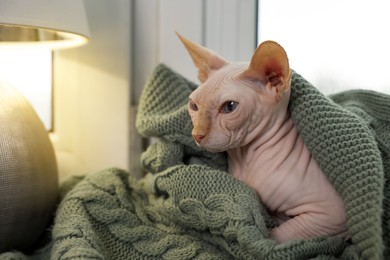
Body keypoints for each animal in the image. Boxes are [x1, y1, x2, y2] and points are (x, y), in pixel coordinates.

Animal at [177, 32, 348, 242]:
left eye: (230, 107)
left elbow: (273, 236)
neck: (246, 158)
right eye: (193, 105)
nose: (197, 135)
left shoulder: (332, 214)